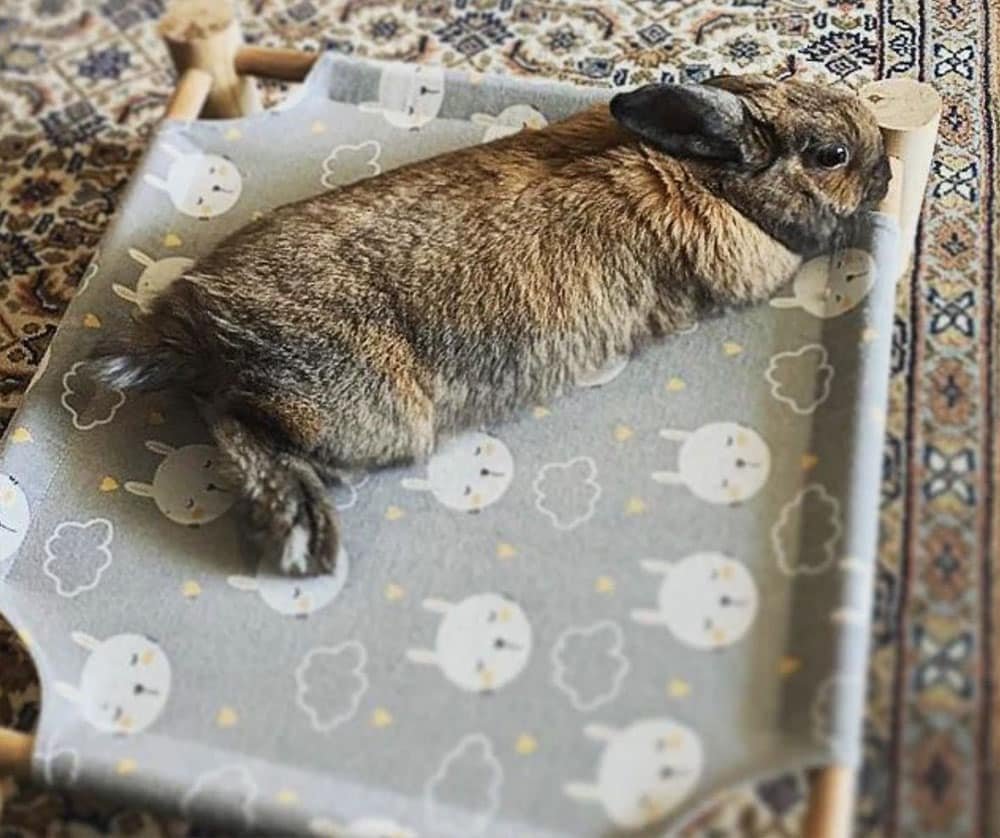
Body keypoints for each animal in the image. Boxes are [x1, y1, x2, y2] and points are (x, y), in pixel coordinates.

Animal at [92, 74, 891, 576]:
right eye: (831, 155)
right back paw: (300, 531)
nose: (886, 172)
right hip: (366, 417)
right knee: (238, 425)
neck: (710, 175)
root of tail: (191, 331)